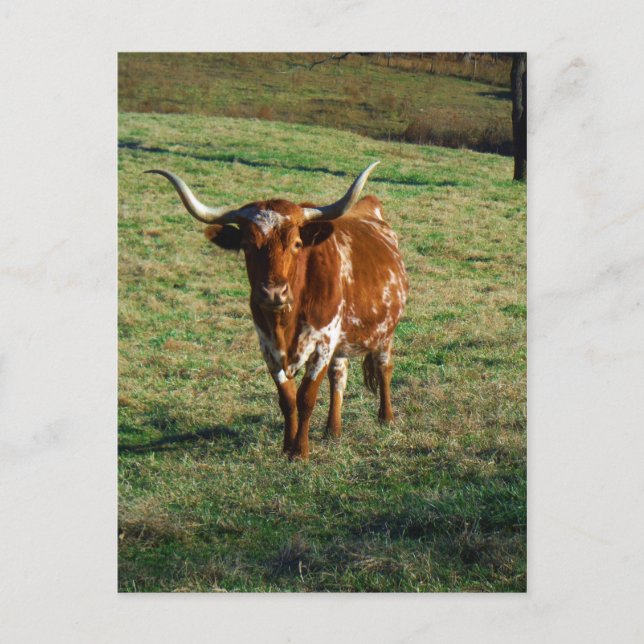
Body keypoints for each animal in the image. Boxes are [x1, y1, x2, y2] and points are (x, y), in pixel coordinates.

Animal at [146, 162, 408, 460]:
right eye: (246, 245)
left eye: (296, 244)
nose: (272, 293)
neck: (286, 321)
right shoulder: (269, 348)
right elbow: (288, 400)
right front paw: (286, 447)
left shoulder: (322, 344)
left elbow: (306, 398)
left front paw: (300, 452)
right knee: (338, 376)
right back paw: (333, 430)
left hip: (384, 332)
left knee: (383, 367)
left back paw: (386, 417)